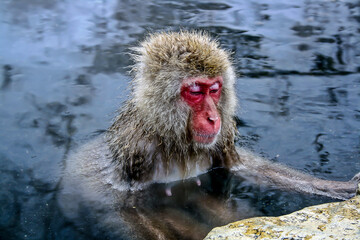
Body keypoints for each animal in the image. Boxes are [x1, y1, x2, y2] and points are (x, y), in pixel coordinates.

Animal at [57, 31, 358, 239]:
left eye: (214, 89)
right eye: (195, 91)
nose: (214, 118)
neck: (175, 139)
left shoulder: (222, 139)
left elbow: (245, 168)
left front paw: (339, 188)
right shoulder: (137, 150)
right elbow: (124, 209)